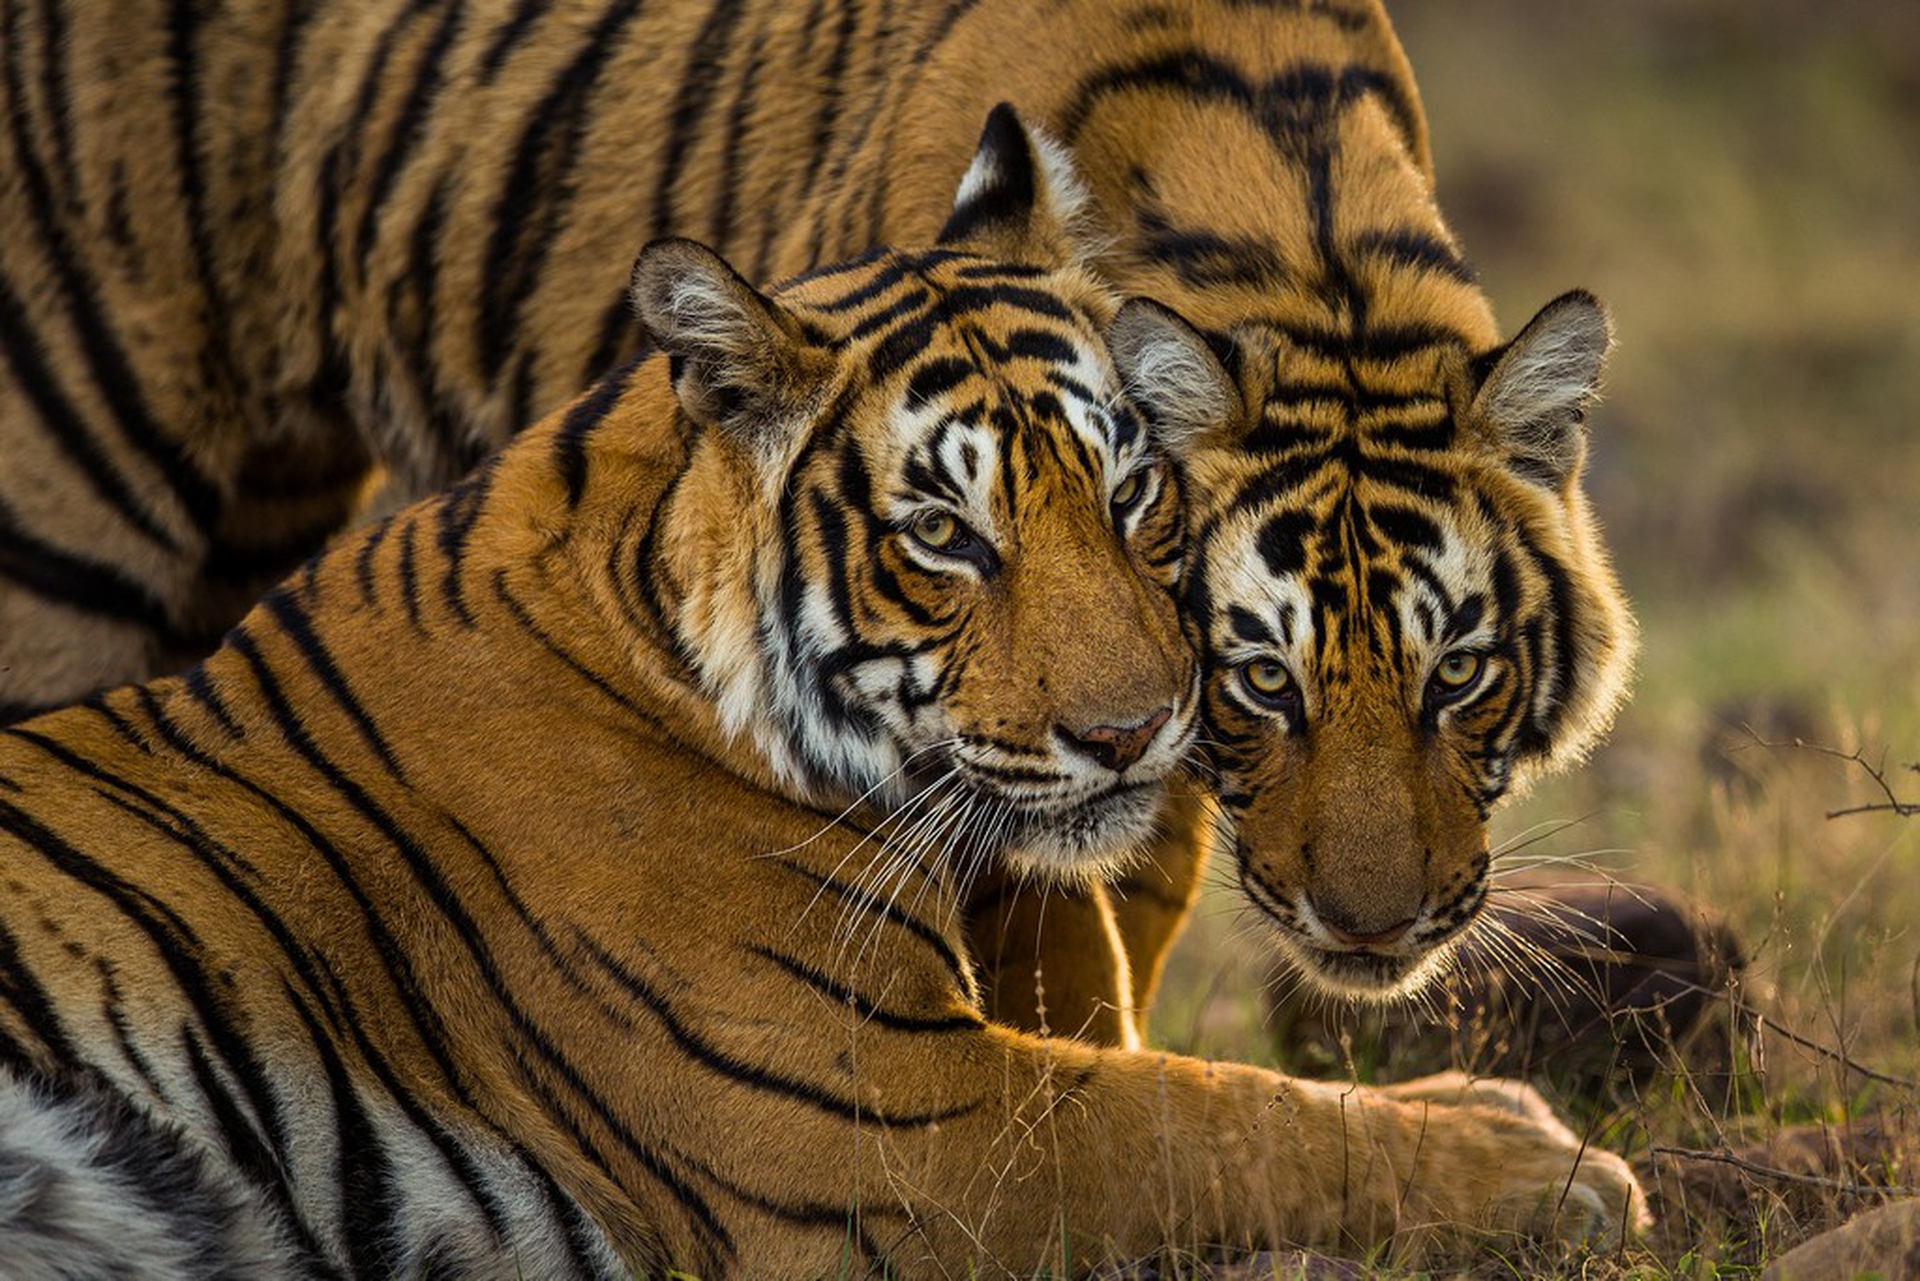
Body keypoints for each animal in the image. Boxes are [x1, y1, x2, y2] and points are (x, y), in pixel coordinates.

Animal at [0, 118, 1643, 1277]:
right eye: (947, 537)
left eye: (1131, 494)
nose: (1135, 732)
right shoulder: (901, 1128)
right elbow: (1213, 1117)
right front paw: (1538, 1157)